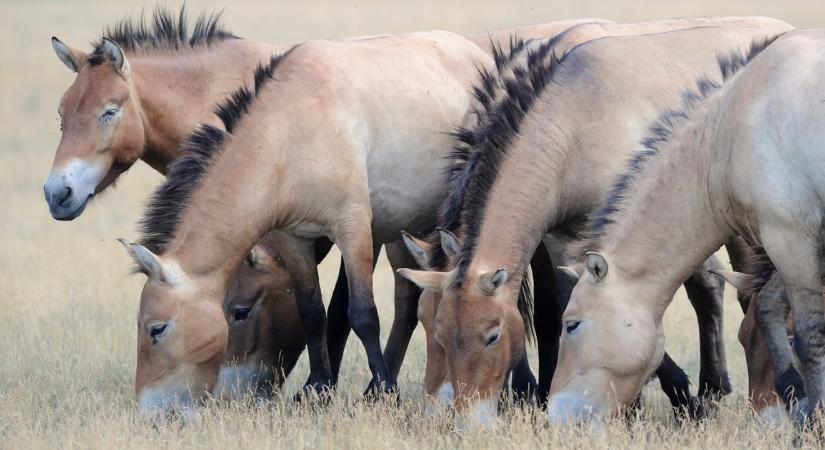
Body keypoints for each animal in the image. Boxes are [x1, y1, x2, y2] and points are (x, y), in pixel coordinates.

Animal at [544, 30, 824, 426]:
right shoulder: (794, 244)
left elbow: (808, 332)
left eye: (572, 324)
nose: (556, 415)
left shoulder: (790, 238)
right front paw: (797, 397)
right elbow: (769, 307)